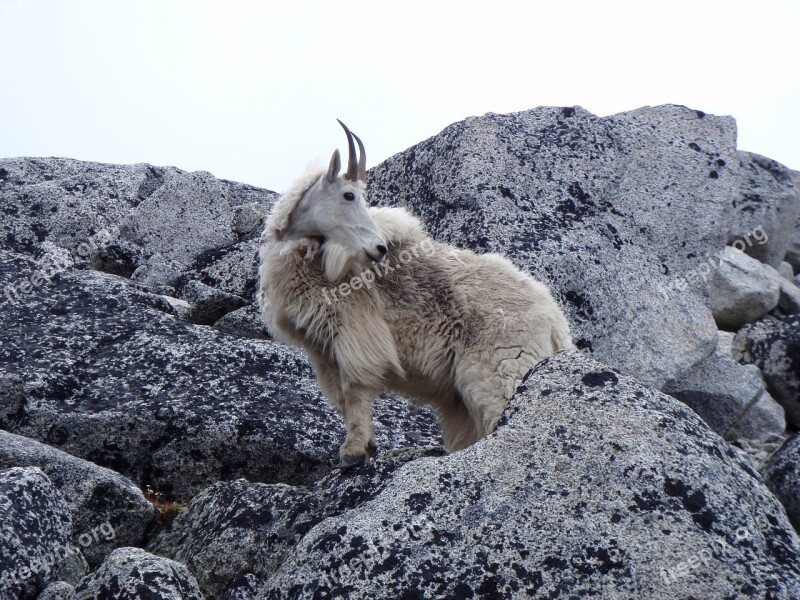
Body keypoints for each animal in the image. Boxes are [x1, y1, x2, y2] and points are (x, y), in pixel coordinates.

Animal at [260, 122, 572, 468]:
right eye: (348, 194)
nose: (379, 249)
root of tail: (556, 324)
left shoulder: (355, 331)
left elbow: (354, 391)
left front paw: (352, 451)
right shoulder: (323, 348)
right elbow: (342, 398)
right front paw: (365, 446)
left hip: (503, 369)